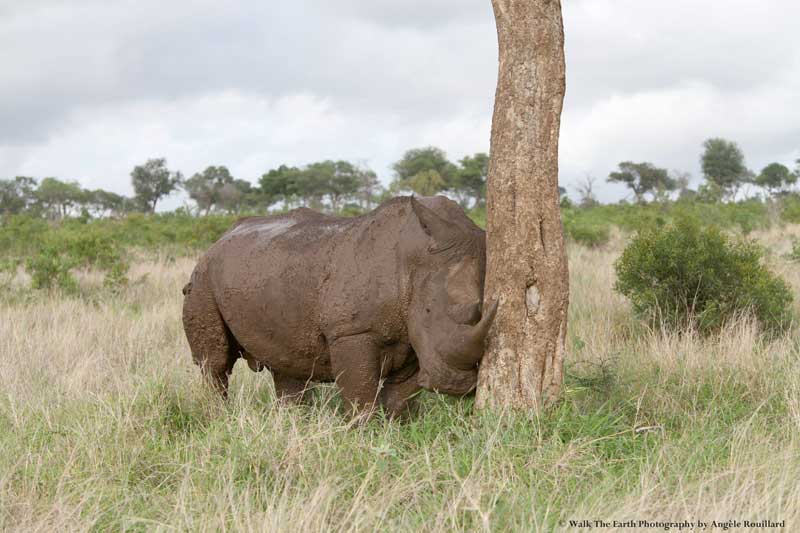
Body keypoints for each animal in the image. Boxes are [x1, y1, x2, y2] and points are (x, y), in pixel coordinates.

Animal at [182, 195, 497, 416]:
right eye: (430, 311)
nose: (459, 387)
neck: (413, 264)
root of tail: (219, 240)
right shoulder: (351, 331)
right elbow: (361, 394)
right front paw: (363, 434)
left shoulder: (413, 336)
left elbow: (400, 397)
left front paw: (396, 430)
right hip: (203, 277)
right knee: (215, 363)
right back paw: (218, 416)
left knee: (287, 366)